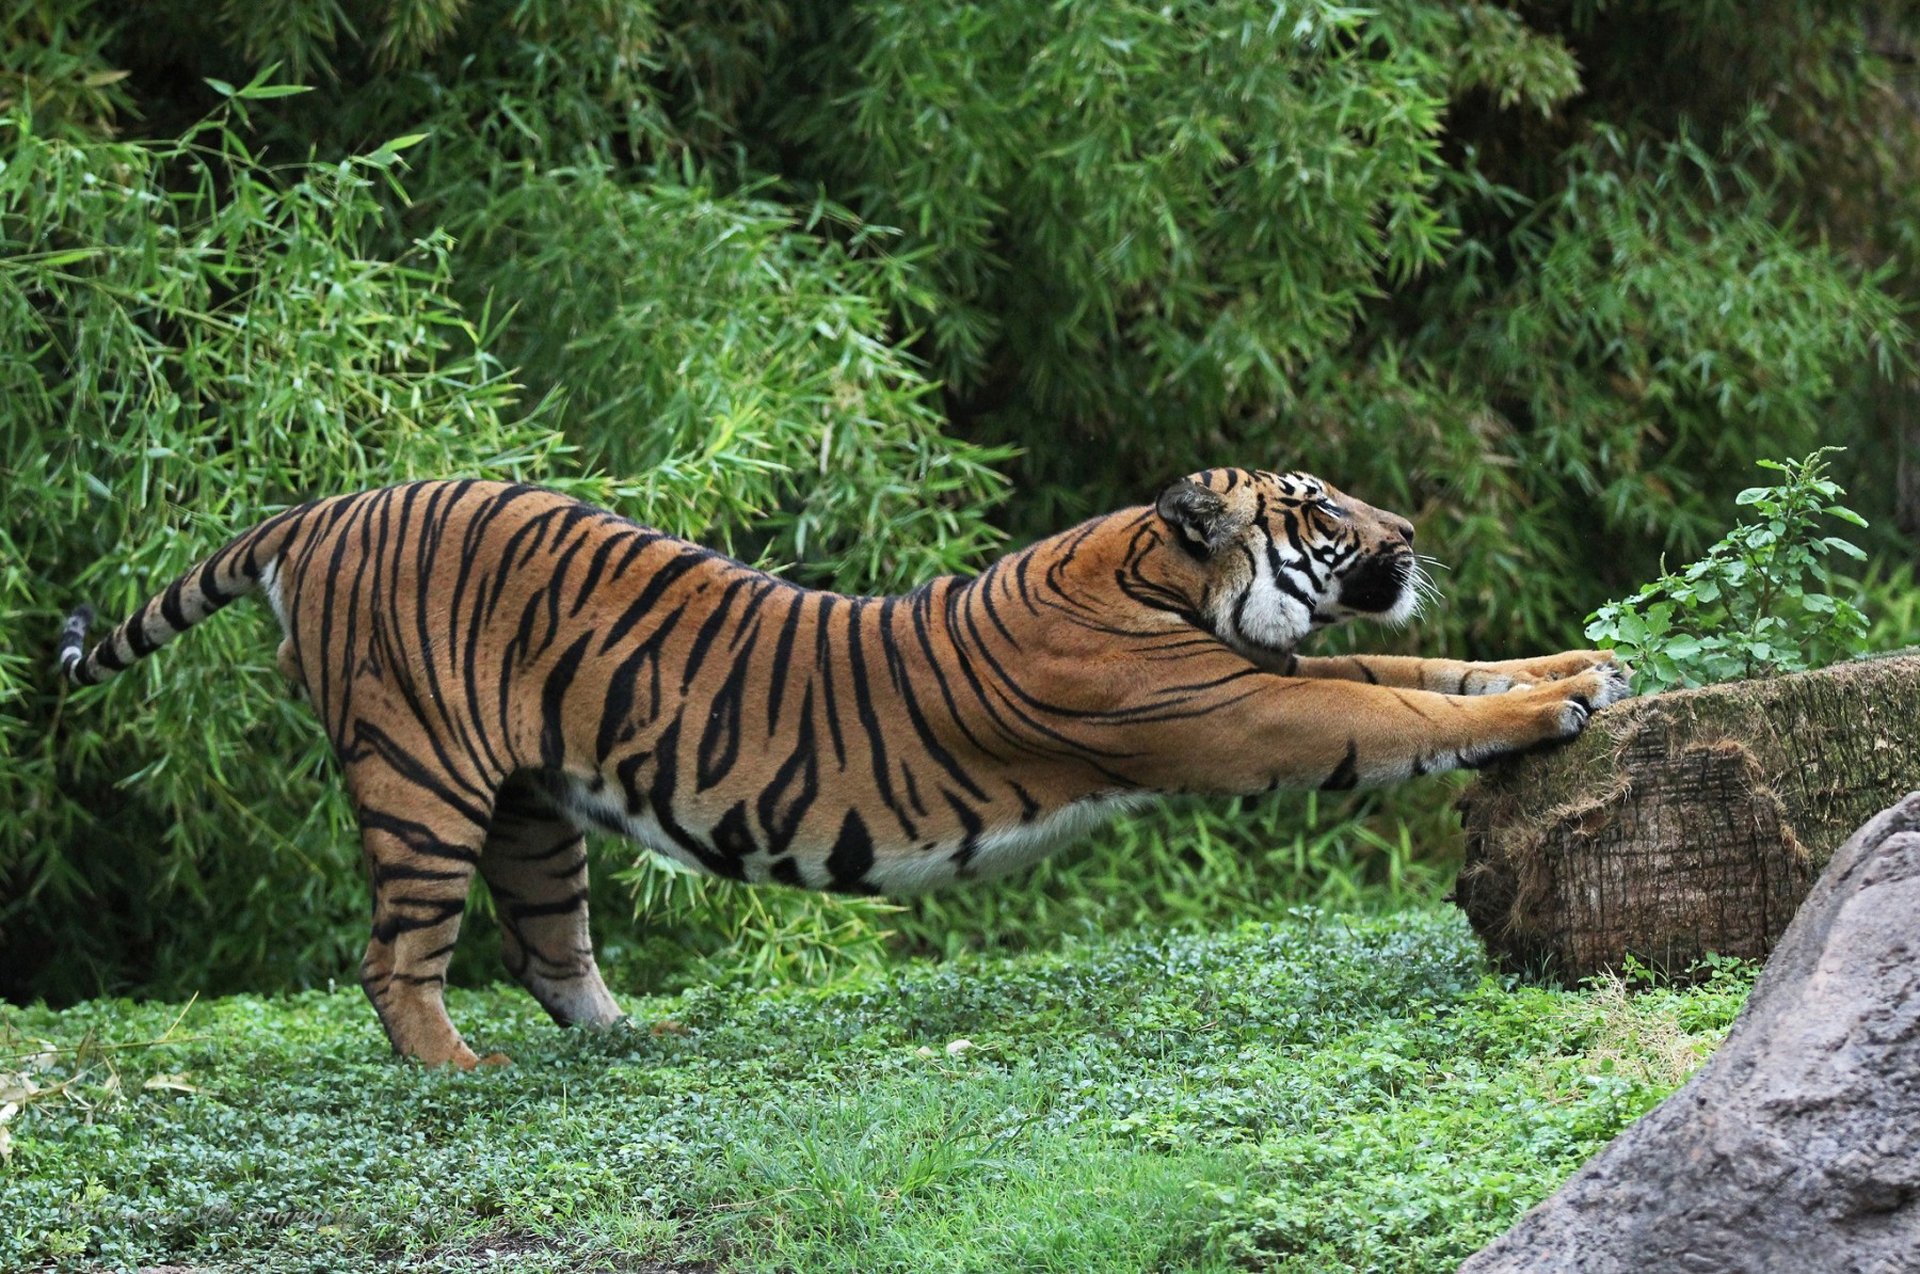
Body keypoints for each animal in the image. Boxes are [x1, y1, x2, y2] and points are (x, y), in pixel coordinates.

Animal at [57, 468, 1628, 1068]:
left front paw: (1580, 663)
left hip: (531, 807)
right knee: (396, 957)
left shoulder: (1269, 674)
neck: (1156, 578)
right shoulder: (1240, 711)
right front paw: (1556, 704)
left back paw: (634, 1039)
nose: (1411, 531)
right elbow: (1397, 714)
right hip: (423, 780)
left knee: (550, 946)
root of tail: (320, 506)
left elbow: (1428, 673)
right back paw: (457, 1067)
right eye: (1319, 509)